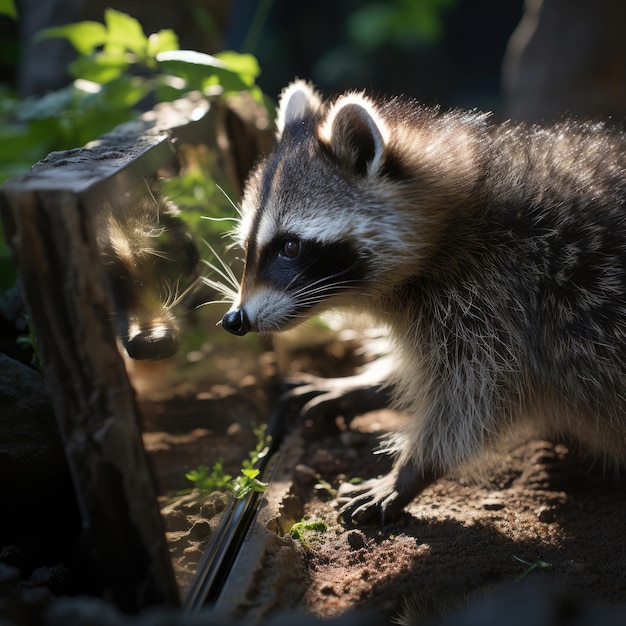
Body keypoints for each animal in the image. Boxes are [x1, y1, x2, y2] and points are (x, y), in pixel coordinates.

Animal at [221, 80, 626, 524]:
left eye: (290, 247)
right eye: (247, 246)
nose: (234, 320)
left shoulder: (501, 295)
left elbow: (479, 399)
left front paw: (413, 469)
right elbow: (417, 367)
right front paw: (365, 384)